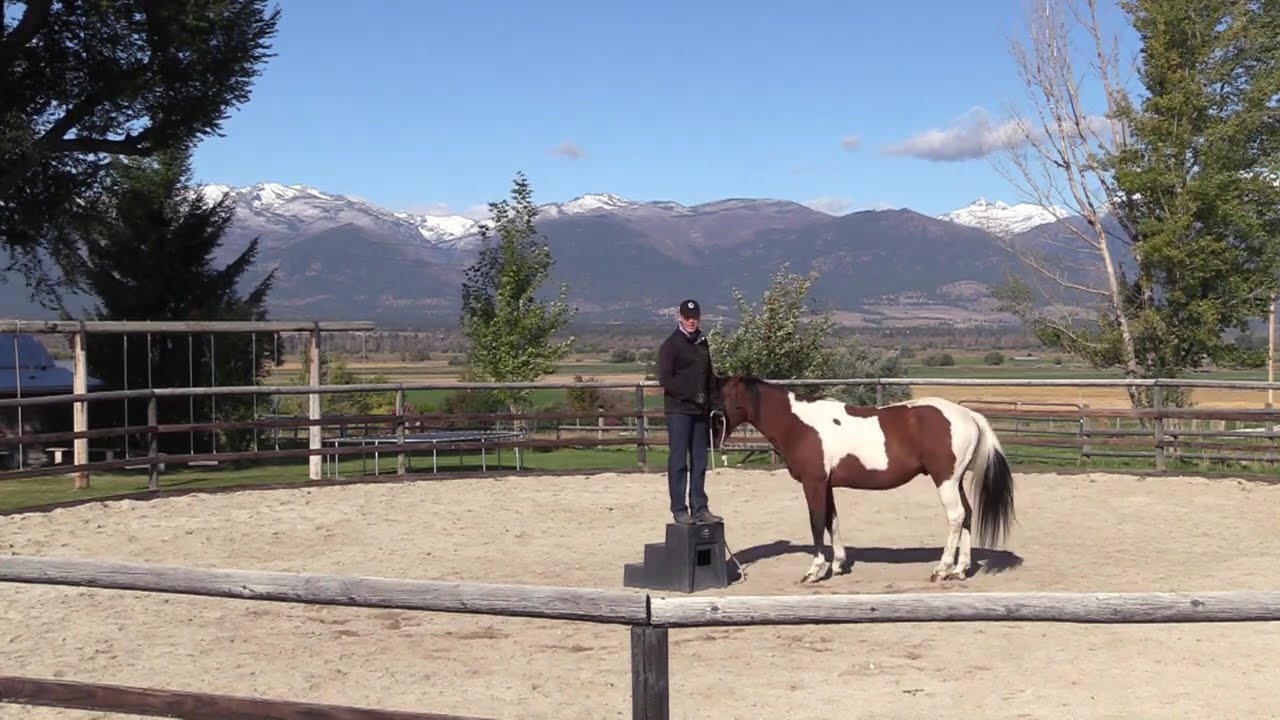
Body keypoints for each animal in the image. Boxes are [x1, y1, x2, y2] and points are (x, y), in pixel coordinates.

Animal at [710, 374, 1016, 584]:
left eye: (721, 397)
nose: (712, 434)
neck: (799, 425)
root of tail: (969, 414)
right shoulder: (827, 485)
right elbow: (831, 520)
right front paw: (838, 564)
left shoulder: (814, 483)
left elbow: (816, 522)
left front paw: (815, 571)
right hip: (956, 480)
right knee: (968, 515)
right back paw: (961, 569)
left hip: (946, 481)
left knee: (956, 517)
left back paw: (941, 570)